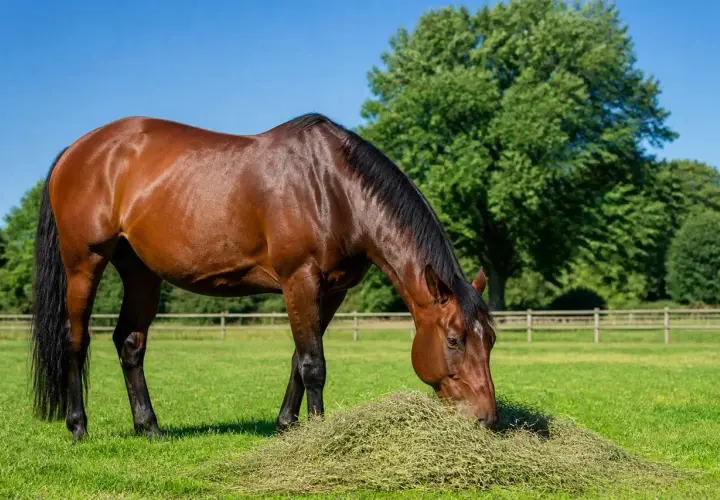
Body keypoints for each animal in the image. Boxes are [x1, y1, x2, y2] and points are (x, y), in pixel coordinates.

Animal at [31, 113, 497, 441]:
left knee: (129, 343)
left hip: (141, 273)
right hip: (84, 263)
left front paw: (287, 424)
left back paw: (150, 427)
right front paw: (317, 433)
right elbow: (313, 364)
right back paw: (78, 426)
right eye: (454, 339)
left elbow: (299, 358)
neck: (333, 188)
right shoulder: (299, 280)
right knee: (76, 340)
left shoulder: (331, 291)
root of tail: (77, 149)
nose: (487, 419)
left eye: (491, 339)